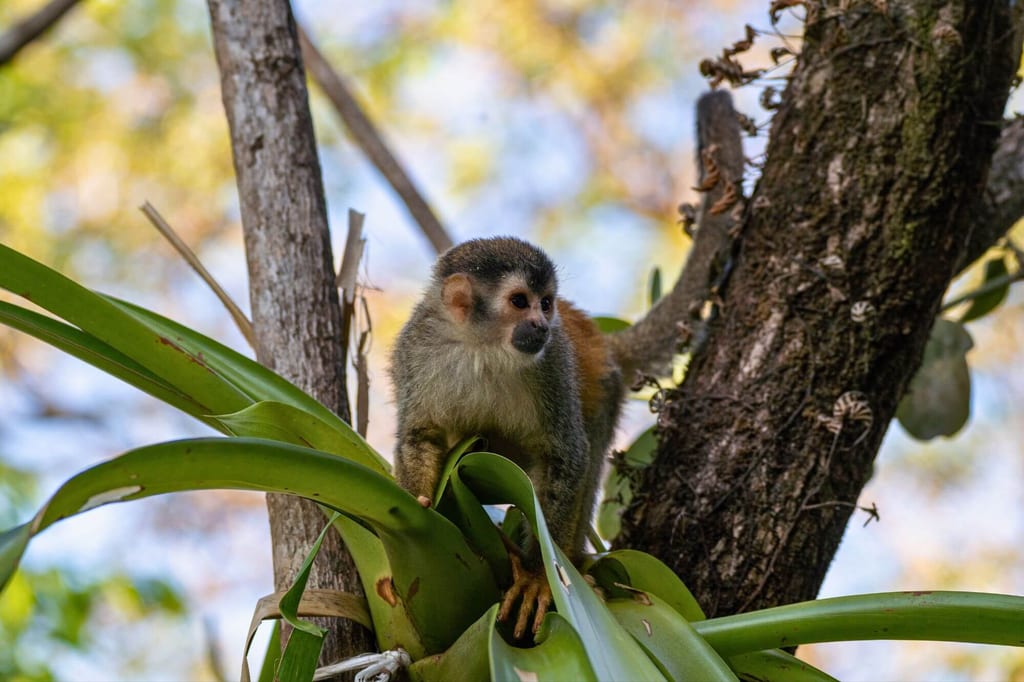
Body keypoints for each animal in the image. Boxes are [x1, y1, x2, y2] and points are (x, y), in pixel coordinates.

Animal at [390, 91, 744, 640]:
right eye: (519, 301)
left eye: (546, 303)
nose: (541, 323)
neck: (482, 348)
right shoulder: (417, 351)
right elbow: (420, 435)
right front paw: (420, 503)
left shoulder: (552, 363)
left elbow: (566, 458)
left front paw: (539, 575)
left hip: (601, 384)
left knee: (588, 446)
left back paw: (573, 562)